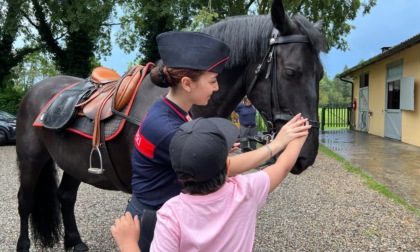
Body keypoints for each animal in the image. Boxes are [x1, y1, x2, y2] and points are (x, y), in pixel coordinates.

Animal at [15, 0, 324, 251]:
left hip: (74, 161)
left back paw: (75, 242)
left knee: (65, 197)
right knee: (25, 202)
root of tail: (37, 89)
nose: (306, 154)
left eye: (320, 74)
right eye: (291, 72)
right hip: (31, 159)